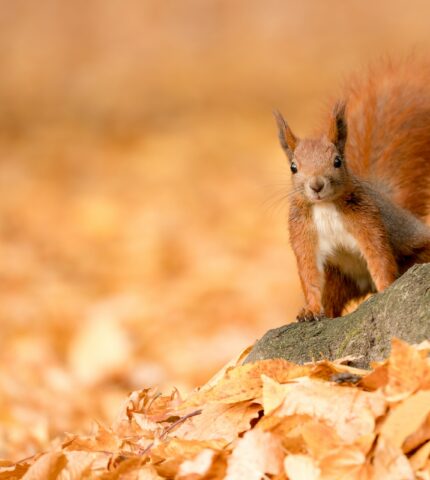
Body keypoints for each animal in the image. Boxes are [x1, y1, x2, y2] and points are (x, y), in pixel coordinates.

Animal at [276, 60, 430, 322]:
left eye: (338, 161)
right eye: (293, 167)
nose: (316, 185)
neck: (325, 206)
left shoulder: (367, 222)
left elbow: (379, 257)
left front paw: (387, 288)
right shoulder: (303, 234)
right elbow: (309, 273)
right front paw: (311, 309)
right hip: (337, 278)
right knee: (332, 301)